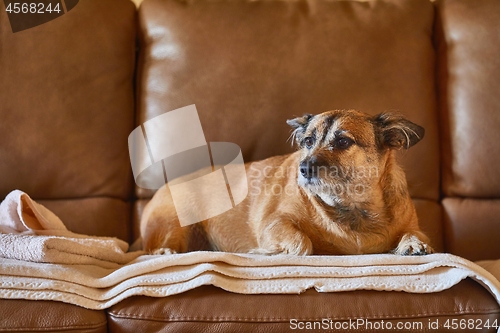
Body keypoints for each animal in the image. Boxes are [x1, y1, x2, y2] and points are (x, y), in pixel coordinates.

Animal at [141, 110, 434, 255]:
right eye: (308, 141)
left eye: (342, 141)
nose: (303, 168)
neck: (351, 207)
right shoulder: (274, 223)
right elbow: (302, 244)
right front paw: (266, 252)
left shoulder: (411, 225)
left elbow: (416, 234)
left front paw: (414, 245)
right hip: (173, 224)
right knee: (153, 249)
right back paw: (165, 253)